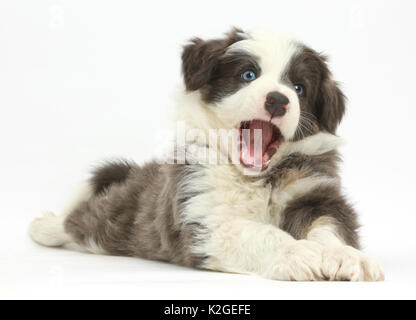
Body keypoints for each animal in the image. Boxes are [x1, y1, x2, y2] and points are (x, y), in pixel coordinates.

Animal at [30, 28, 386, 282]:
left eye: (299, 88)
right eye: (248, 75)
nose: (278, 100)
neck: (258, 178)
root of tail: (141, 171)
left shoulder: (316, 194)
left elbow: (331, 226)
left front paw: (346, 256)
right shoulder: (204, 216)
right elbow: (260, 233)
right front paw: (298, 253)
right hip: (123, 215)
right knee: (87, 220)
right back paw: (44, 227)